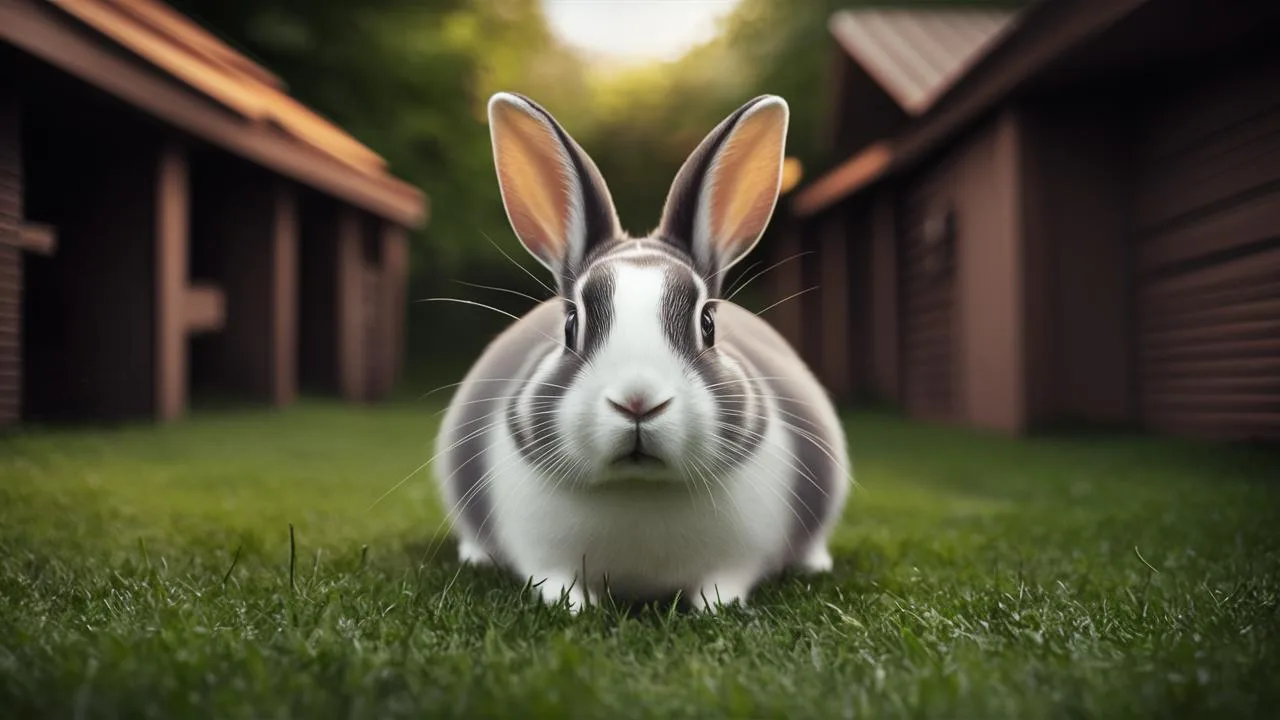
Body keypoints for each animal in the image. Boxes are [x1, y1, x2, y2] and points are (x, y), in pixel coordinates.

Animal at [432, 91, 851, 613]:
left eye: (708, 324)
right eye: (570, 325)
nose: (637, 401)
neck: (638, 490)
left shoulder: (738, 560)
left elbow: (723, 583)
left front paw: (713, 607)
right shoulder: (542, 555)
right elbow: (554, 580)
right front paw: (575, 608)